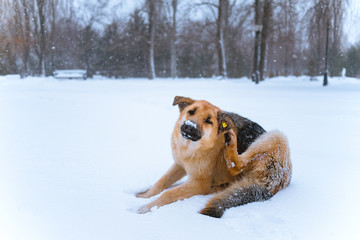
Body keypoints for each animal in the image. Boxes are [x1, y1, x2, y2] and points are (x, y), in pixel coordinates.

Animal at [136, 96, 292, 218]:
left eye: (208, 121)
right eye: (191, 112)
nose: (189, 126)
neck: (192, 149)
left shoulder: (199, 183)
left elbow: (168, 193)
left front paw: (148, 206)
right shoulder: (180, 164)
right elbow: (161, 182)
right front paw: (144, 196)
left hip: (275, 136)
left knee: (237, 165)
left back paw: (231, 142)